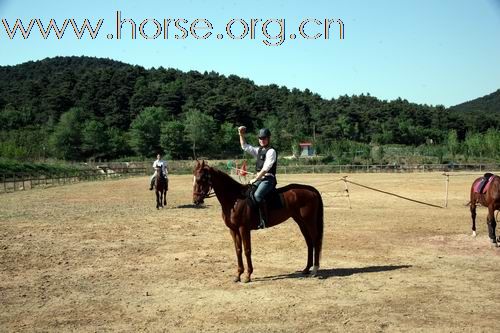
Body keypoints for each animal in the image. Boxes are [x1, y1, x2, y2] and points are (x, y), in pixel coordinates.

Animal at [191, 160, 324, 282]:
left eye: (201, 178)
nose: (196, 200)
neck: (235, 199)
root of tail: (311, 190)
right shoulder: (233, 230)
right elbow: (238, 250)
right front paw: (238, 275)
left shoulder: (244, 229)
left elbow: (247, 250)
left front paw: (248, 275)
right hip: (301, 222)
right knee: (309, 242)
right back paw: (306, 269)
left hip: (309, 221)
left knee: (315, 240)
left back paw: (315, 270)